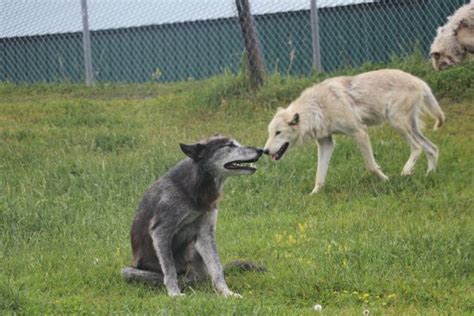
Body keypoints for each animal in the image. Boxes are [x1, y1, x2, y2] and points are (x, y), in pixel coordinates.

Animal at [121, 135, 262, 296]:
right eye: (229, 145)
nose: (261, 150)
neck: (194, 187)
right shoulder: (161, 231)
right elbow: (169, 270)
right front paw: (174, 294)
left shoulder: (205, 233)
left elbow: (217, 268)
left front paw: (227, 293)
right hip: (127, 271)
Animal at [262, 68, 444, 195]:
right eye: (269, 133)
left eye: (278, 133)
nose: (265, 151)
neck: (318, 107)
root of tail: (420, 81)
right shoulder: (326, 144)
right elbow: (319, 176)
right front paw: (314, 194)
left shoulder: (360, 132)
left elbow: (371, 166)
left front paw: (386, 180)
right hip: (410, 127)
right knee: (432, 148)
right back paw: (429, 175)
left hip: (397, 123)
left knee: (418, 147)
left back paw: (406, 172)